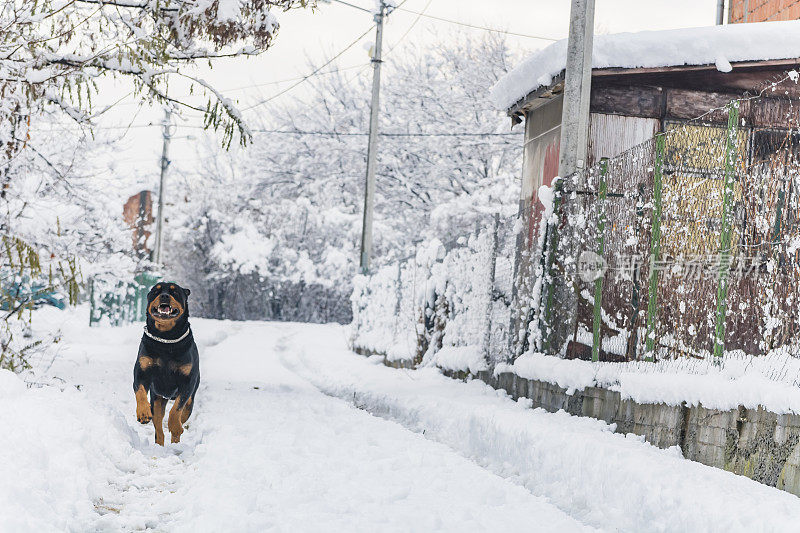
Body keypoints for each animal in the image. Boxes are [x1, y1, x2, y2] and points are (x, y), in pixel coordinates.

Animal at [132, 282, 199, 444]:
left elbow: (177, 408)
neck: (166, 339)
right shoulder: (142, 372)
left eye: (175, 292)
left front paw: (175, 426)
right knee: (158, 426)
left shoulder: (187, 382)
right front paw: (143, 412)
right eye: (156, 291)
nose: (164, 296)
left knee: (183, 413)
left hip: (191, 400)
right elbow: (140, 391)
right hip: (157, 398)